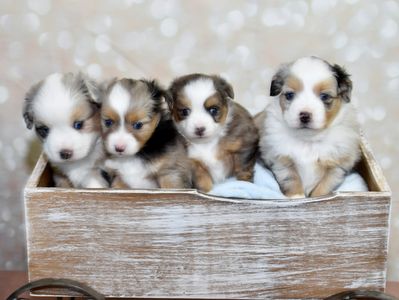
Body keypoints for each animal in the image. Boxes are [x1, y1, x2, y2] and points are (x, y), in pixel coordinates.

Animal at [256, 56, 362, 198]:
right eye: (290, 95)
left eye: (324, 96)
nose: (305, 115)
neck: (308, 139)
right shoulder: (280, 159)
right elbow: (291, 179)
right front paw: (297, 197)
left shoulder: (337, 166)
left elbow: (323, 187)